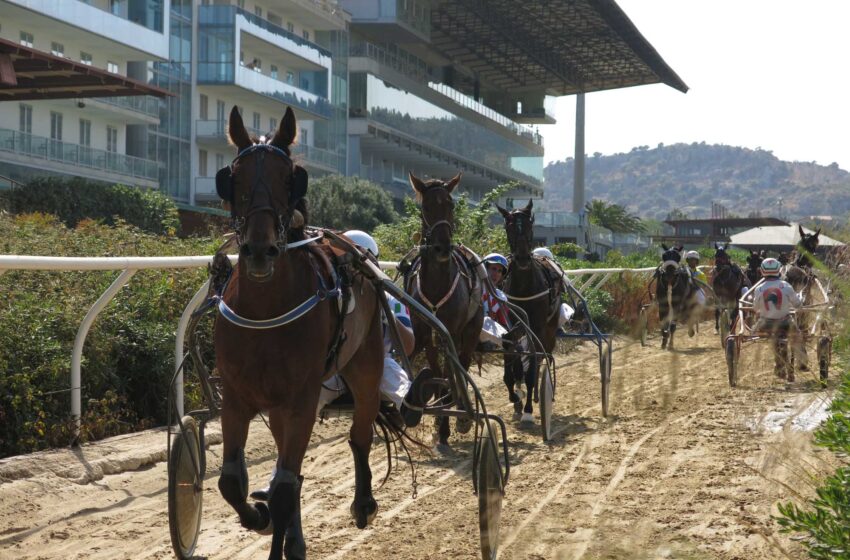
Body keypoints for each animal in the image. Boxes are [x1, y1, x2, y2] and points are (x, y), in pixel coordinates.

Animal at [214, 106, 390, 560]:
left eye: (288, 176)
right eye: (233, 177)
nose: (259, 250)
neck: (265, 311)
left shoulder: (301, 399)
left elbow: (284, 488)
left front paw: (273, 524)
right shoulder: (236, 397)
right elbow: (232, 482)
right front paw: (260, 517)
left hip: (365, 364)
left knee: (360, 433)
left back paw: (363, 503)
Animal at [402, 171, 480, 450]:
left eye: (451, 204)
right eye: (425, 207)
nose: (442, 247)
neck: (437, 285)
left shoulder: (453, 333)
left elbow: (450, 373)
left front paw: (448, 424)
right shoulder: (425, 332)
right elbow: (437, 374)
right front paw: (438, 421)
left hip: (472, 329)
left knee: (463, 363)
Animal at [494, 199, 560, 422]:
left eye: (530, 227)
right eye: (509, 228)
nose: (522, 259)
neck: (524, 286)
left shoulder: (537, 328)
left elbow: (533, 364)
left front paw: (529, 411)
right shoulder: (510, 324)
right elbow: (513, 366)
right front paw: (516, 398)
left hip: (550, 328)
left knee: (541, 356)